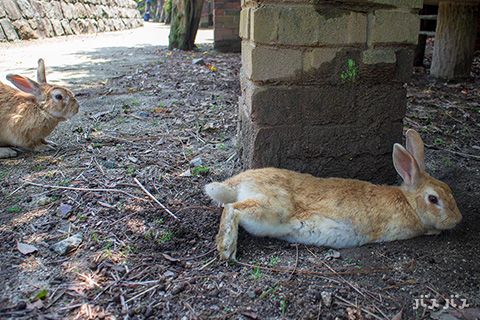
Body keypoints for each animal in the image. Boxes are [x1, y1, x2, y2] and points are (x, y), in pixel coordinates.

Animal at [205, 130, 462, 260]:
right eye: (433, 199)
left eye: (449, 190)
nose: (457, 220)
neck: (409, 202)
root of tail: (238, 183)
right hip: (271, 210)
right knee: (233, 209)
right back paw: (226, 248)